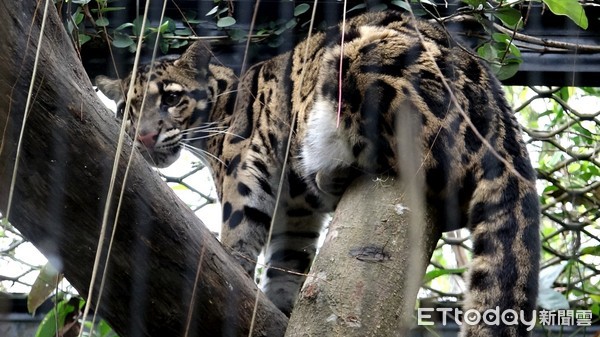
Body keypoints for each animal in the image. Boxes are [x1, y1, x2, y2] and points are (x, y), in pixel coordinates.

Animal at [97, 9, 540, 334]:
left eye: (171, 98)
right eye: (126, 111)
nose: (145, 136)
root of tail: (503, 124)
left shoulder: (245, 165)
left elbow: (239, 225)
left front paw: (234, 262)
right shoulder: (293, 214)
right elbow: (287, 261)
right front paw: (282, 305)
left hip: (361, 63)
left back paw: (331, 172)